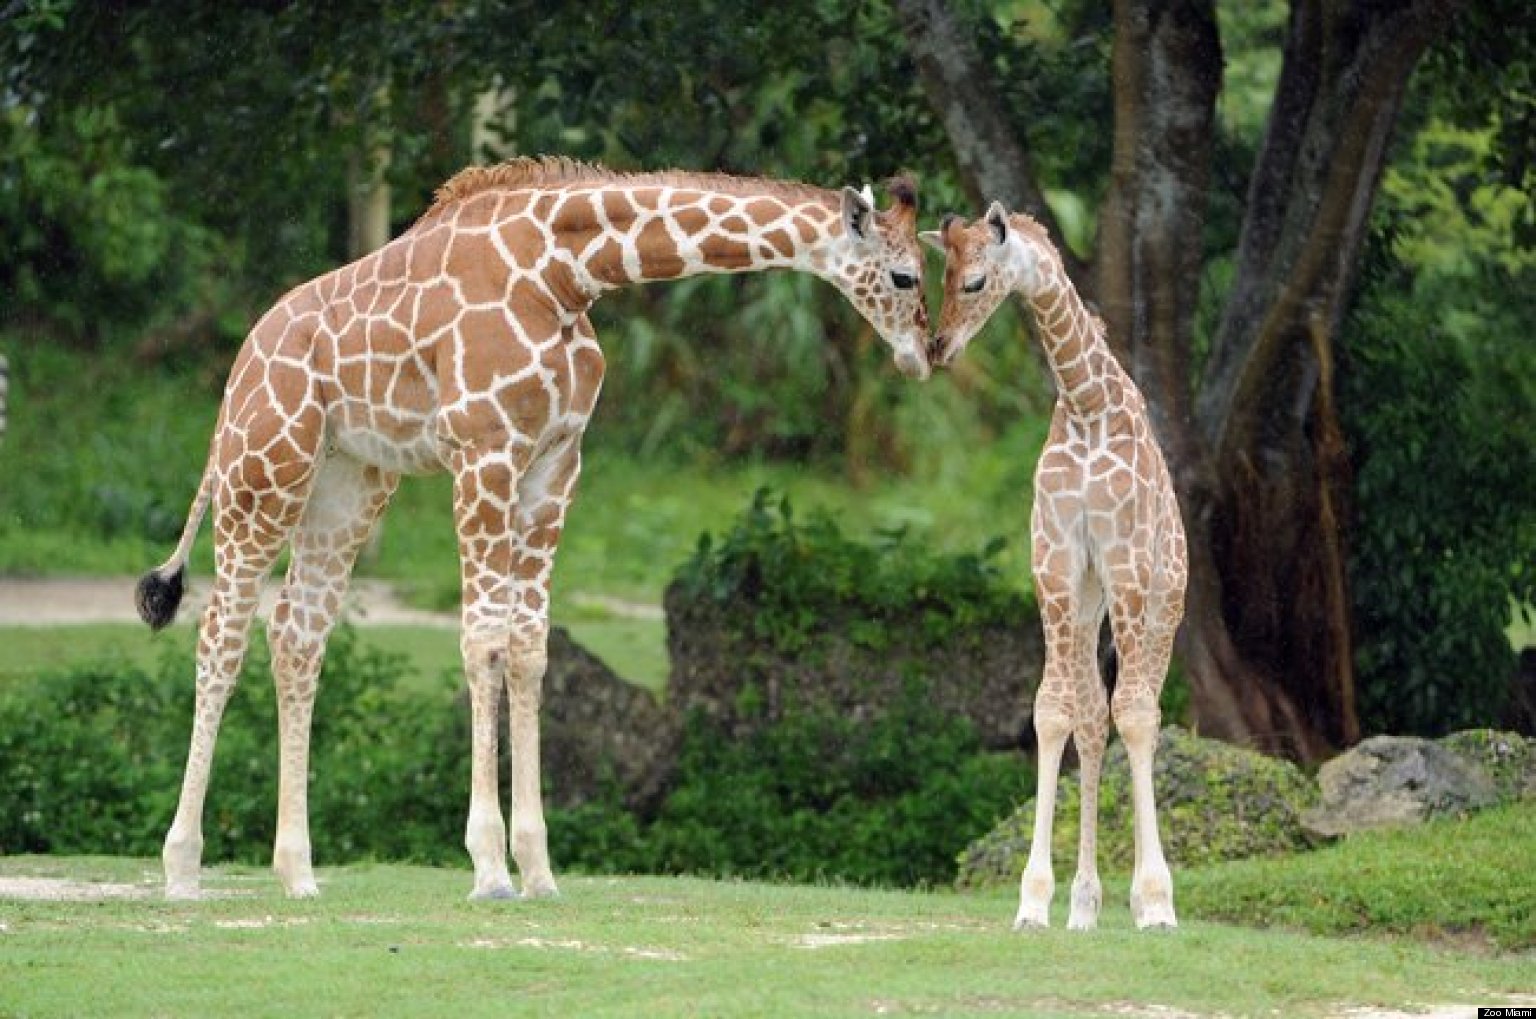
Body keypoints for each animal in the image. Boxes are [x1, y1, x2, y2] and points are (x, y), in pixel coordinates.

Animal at [138, 153, 927, 903]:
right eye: (906, 274)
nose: (922, 355)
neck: (566, 272)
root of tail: (239, 368)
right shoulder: (484, 451)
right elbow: (482, 640)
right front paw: (489, 866)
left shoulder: (555, 464)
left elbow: (528, 648)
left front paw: (539, 868)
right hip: (263, 471)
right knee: (221, 634)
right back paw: (181, 869)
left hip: (347, 482)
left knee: (297, 636)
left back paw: (297, 872)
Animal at [921, 202, 1185, 928]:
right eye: (938, 272)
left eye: (976, 280)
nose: (938, 347)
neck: (1087, 404)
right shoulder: (1056, 563)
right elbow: (1054, 712)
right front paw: (1035, 899)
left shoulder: (1125, 561)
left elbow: (1135, 715)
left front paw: (1156, 901)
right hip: (1092, 602)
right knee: (1094, 717)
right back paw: (1086, 902)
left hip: (1164, 601)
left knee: (1144, 708)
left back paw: (1141, 898)